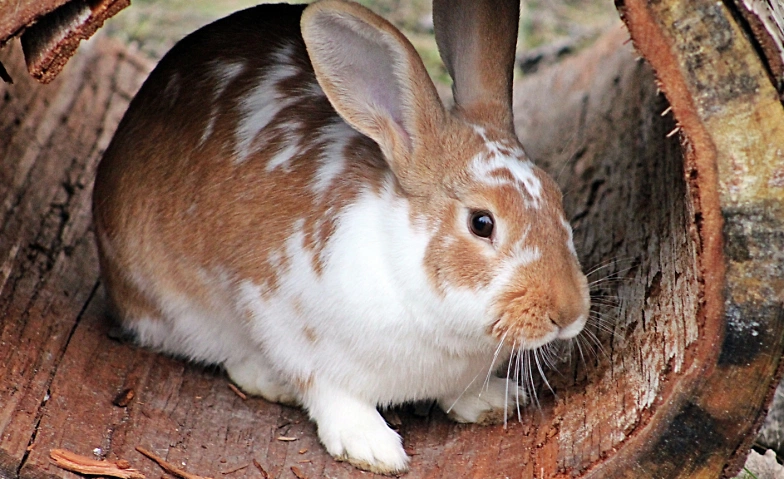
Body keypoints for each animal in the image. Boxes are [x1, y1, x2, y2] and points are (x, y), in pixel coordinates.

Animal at [92, 0, 588, 472]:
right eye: (481, 223)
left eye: (556, 195)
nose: (569, 313)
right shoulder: (288, 327)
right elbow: (330, 393)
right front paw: (372, 448)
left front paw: (493, 401)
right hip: (180, 307)